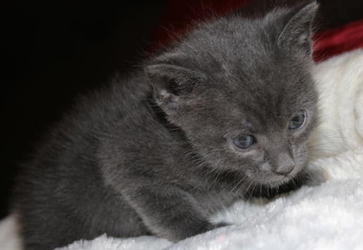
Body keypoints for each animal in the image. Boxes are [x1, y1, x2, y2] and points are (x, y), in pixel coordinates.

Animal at [13, 2, 322, 250]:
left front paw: (298, 180)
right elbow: (166, 207)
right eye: (243, 141)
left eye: (297, 121)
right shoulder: (121, 156)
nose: (286, 167)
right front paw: (205, 231)